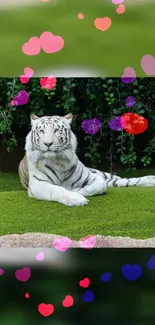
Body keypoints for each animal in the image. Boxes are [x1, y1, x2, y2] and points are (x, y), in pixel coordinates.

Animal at [18, 112, 155, 206]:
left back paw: (150, 179)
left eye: (56, 130)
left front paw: (78, 190)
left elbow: (99, 186)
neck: (59, 161)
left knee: (126, 180)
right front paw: (76, 198)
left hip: (103, 174)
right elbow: (58, 190)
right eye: (41, 131)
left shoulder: (93, 177)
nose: (48, 144)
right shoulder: (38, 184)